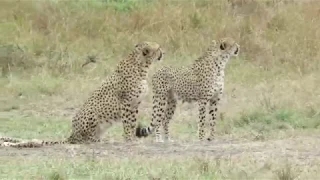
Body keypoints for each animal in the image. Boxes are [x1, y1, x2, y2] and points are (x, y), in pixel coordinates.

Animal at [0, 41, 165, 148]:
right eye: (158, 48)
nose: (163, 52)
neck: (142, 66)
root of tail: (72, 135)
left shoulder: (135, 104)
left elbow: (132, 122)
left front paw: (131, 138)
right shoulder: (127, 103)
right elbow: (128, 123)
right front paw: (130, 139)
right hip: (92, 114)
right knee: (86, 140)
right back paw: (96, 141)